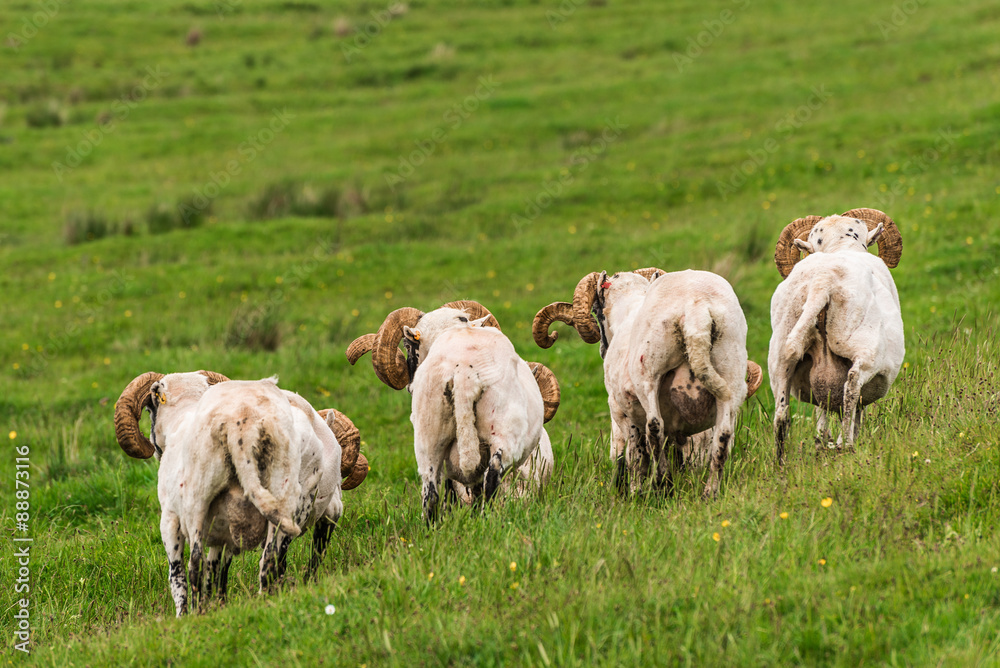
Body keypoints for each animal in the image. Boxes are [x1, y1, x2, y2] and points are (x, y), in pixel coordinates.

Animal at [114, 370, 369, 616]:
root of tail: (242, 427)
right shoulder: (224, 527)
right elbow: (217, 569)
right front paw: (217, 604)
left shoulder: (170, 518)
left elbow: (179, 576)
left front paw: (185, 614)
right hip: (283, 497)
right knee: (269, 560)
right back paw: (266, 600)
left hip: (199, 500)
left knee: (196, 564)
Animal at [346, 300, 561, 522]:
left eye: (407, 345)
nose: (409, 386)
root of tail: (463, 369)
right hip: (503, 432)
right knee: (491, 478)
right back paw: (485, 522)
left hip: (429, 436)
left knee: (431, 491)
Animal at [533, 268, 763, 498]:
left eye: (597, 310)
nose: (602, 350)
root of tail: (696, 311)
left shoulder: (623, 410)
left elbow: (636, 456)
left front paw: (636, 491)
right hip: (730, 371)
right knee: (723, 435)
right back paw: (709, 492)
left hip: (649, 374)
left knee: (654, 427)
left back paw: (663, 485)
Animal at [769, 207, 904, 461]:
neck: (839, 246)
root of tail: (823, 281)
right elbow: (856, 409)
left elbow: (822, 413)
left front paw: (822, 442)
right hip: (863, 348)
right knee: (851, 386)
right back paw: (846, 444)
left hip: (779, 357)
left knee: (781, 415)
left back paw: (781, 463)